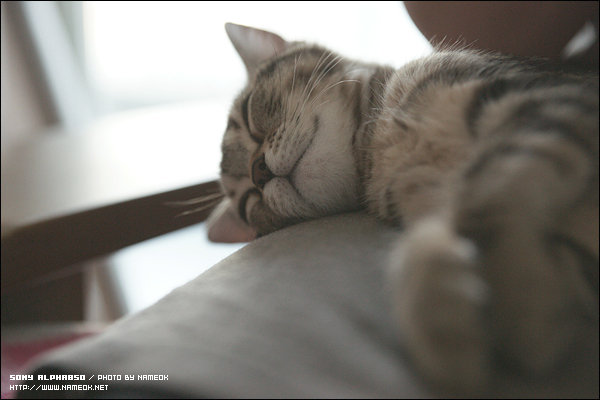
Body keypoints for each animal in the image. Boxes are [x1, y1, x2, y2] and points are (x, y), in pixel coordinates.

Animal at [205, 22, 596, 394]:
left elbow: (493, 191)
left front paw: (519, 296)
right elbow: (433, 239)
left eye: (249, 113)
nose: (258, 173)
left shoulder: (543, 98)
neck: (385, 148)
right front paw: (442, 314)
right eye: (248, 202)